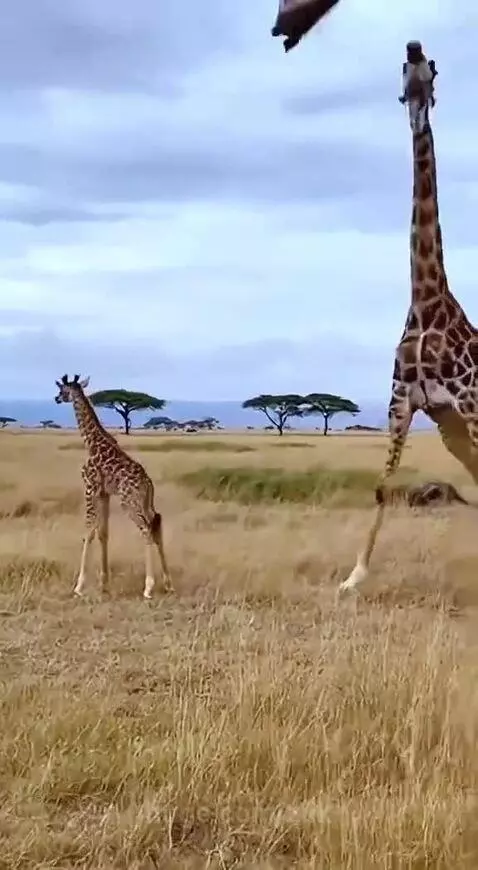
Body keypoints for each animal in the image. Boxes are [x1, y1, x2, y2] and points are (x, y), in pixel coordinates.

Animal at [54, 374, 172, 600]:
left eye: (63, 390)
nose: (56, 398)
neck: (91, 442)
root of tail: (147, 483)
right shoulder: (105, 493)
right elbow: (103, 533)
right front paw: (104, 583)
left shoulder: (90, 487)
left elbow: (89, 532)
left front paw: (79, 586)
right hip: (145, 502)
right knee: (157, 524)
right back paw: (168, 583)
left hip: (129, 503)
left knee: (146, 529)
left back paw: (148, 587)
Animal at [339, 45, 478, 593]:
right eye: (404, 68)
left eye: (431, 68)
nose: (413, 47)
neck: (425, 301)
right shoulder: (404, 401)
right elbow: (381, 489)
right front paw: (353, 578)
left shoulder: (464, 402)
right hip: (453, 429)